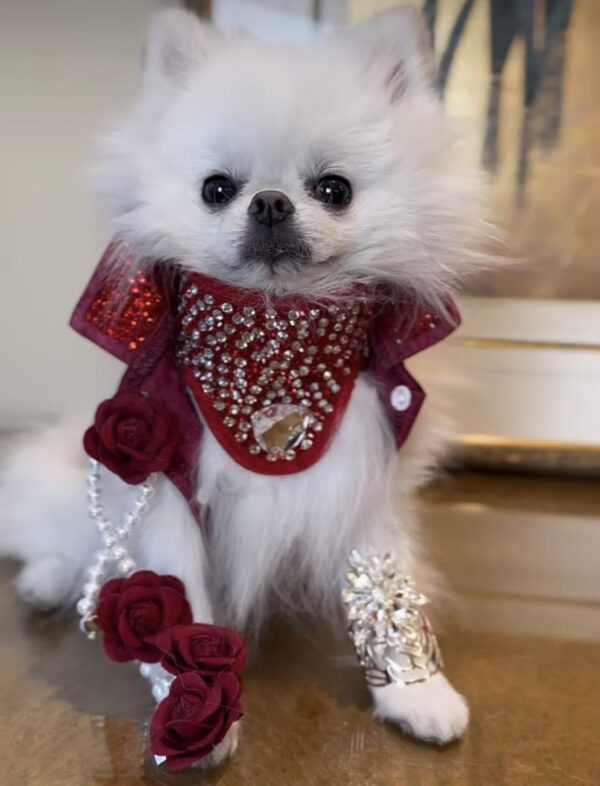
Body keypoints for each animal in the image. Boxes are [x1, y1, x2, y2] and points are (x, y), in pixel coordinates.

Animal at [0, 6, 488, 764]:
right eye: (216, 190)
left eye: (335, 190)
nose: (269, 203)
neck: (272, 339)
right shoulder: (169, 485)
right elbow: (178, 602)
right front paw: (195, 708)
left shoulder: (365, 479)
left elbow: (386, 590)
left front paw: (417, 693)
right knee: (66, 537)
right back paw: (47, 580)